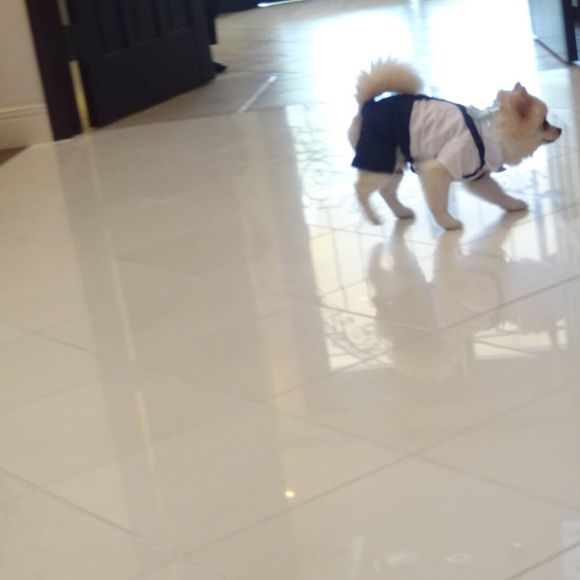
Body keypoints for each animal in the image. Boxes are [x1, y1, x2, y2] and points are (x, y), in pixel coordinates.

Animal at [348, 60, 562, 230]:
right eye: (544, 123)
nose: (559, 130)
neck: (491, 133)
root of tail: (368, 106)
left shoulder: (478, 178)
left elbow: (498, 194)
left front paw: (512, 204)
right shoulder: (437, 170)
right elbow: (438, 204)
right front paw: (447, 223)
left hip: (393, 165)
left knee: (386, 191)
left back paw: (401, 212)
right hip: (379, 160)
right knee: (360, 189)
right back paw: (372, 217)